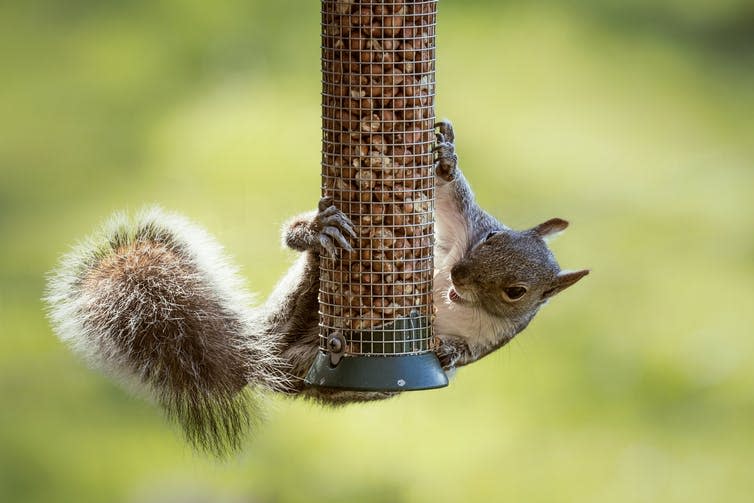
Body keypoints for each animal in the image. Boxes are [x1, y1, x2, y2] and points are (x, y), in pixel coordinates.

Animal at [45, 119, 588, 456]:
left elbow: (464, 354)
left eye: (516, 292)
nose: (457, 276)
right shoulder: (460, 233)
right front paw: (445, 156)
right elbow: (450, 196)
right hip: (306, 298)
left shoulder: (494, 338)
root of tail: (264, 360)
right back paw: (314, 234)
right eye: (493, 236)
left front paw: (449, 352)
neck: (456, 298)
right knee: (305, 253)